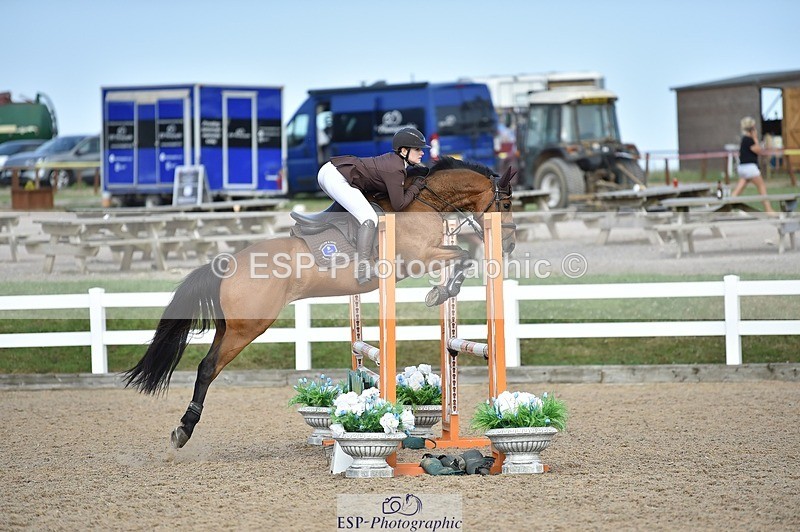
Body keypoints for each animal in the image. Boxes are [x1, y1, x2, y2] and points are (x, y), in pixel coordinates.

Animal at [123, 156, 516, 449]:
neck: (423, 202)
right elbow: (462, 256)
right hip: (249, 327)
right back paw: (183, 430)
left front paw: (442, 290)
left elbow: (460, 257)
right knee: (208, 368)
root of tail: (226, 265)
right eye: (507, 203)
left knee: (208, 366)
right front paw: (441, 292)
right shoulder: (418, 257)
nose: (509, 245)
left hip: (231, 326)